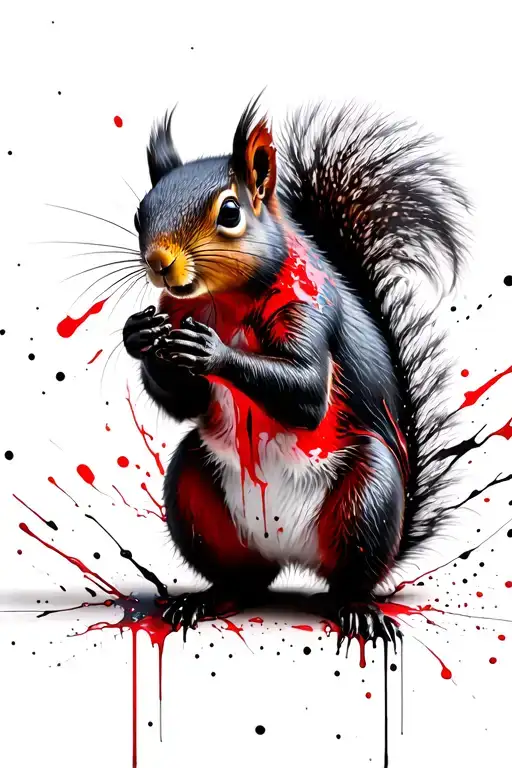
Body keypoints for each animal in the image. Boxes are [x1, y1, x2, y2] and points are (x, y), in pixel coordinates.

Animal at [123, 96, 468, 638]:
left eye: (230, 211)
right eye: (141, 212)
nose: (159, 263)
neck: (225, 303)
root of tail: (289, 555)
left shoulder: (312, 308)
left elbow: (306, 392)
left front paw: (212, 351)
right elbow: (187, 402)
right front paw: (138, 335)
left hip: (366, 503)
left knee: (350, 576)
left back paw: (357, 609)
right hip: (193, 494)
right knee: (243, 581)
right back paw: (204, 601)